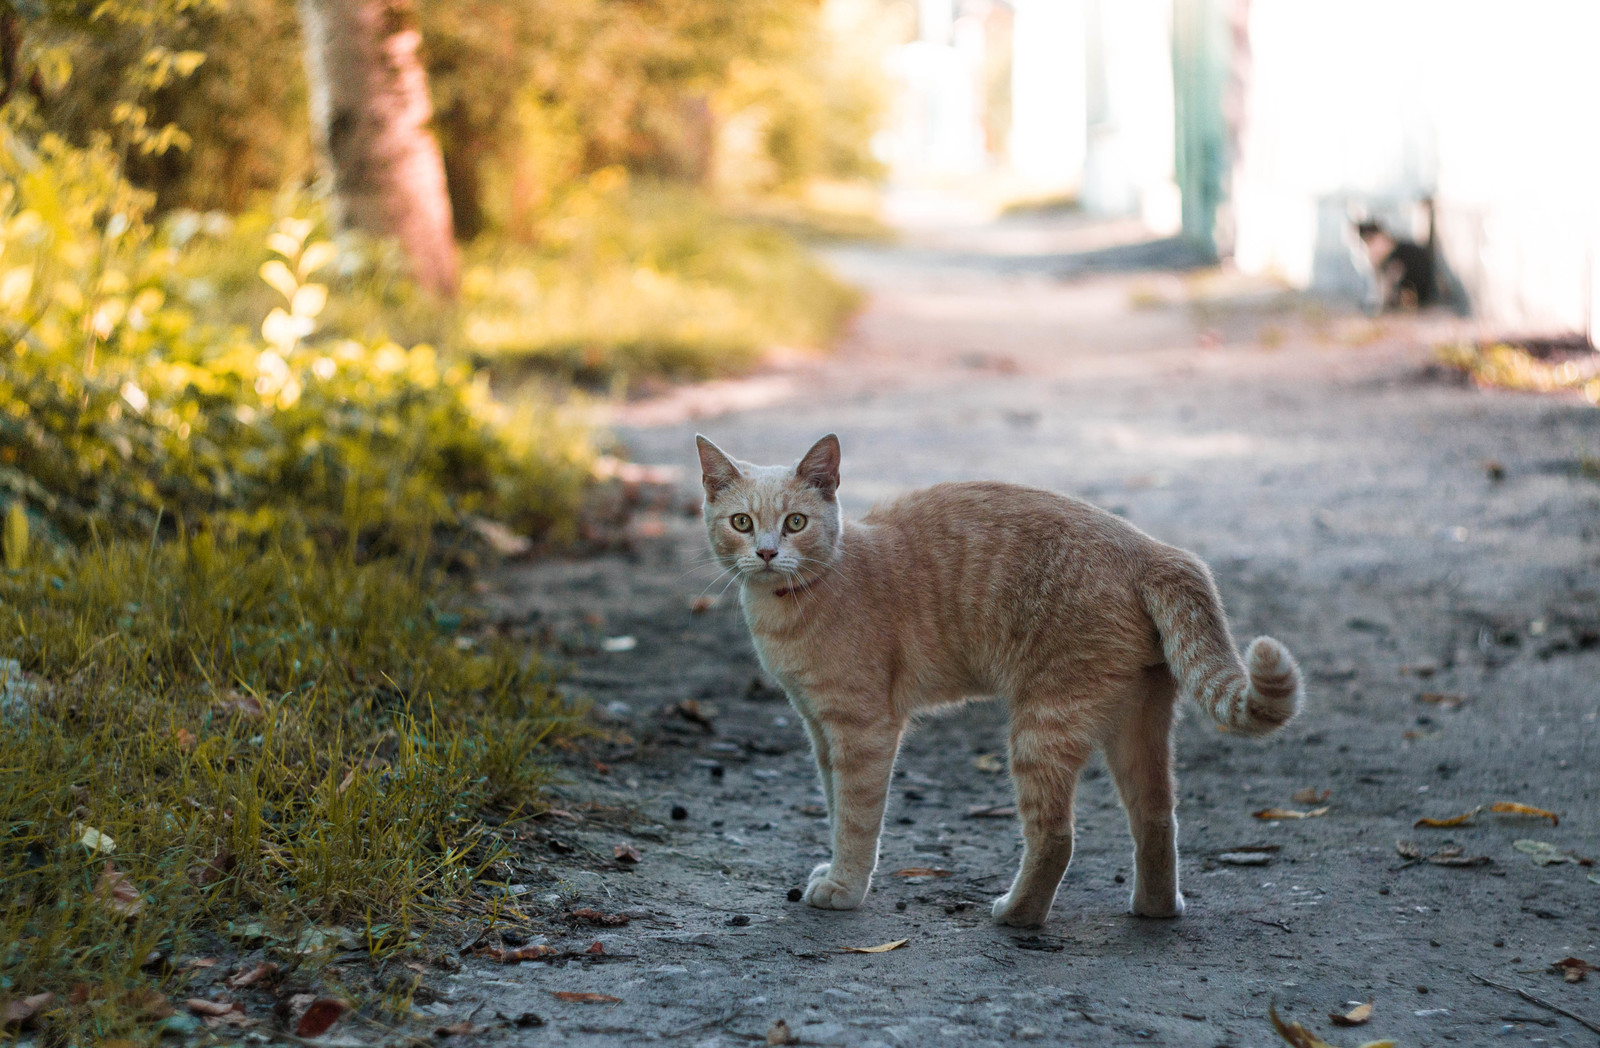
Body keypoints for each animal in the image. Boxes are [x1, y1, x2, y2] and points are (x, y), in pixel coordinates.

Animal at [697, 432, 1299, 928]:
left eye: (795, 522)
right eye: (742, 522)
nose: (767, 552)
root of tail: (1153, 548)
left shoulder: (863, 731)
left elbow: (856, 816)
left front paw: (844, 887)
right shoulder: (819, 730)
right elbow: (832, 804)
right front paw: (834, 870)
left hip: (1043, 723)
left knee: (1057, 835)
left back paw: (1017, 914)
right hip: (1137, 720)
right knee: (1156, 818)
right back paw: (1155, 910)